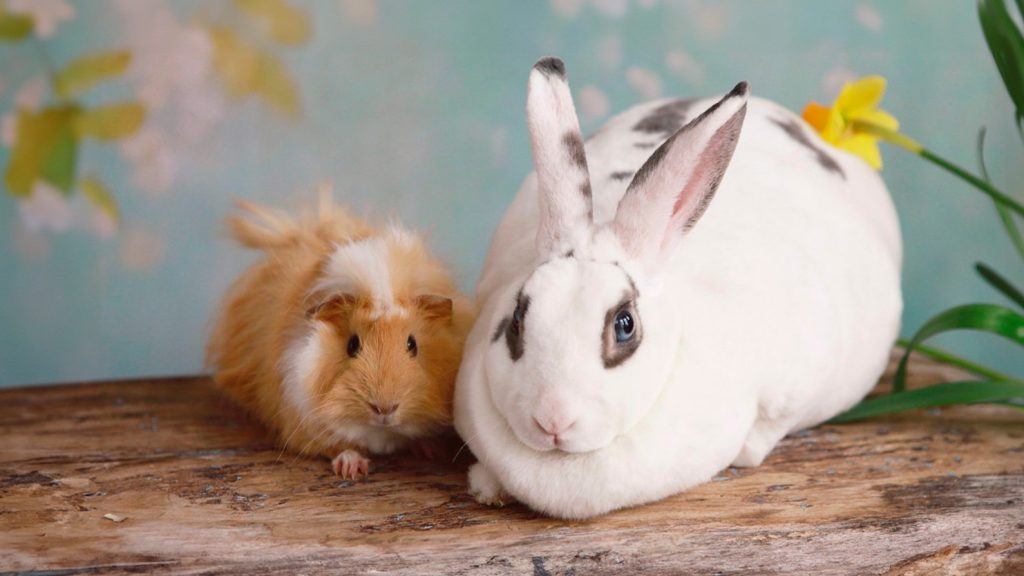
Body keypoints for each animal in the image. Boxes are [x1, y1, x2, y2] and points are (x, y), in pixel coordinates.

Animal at [207, 191, 475, 479]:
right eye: (352, 345)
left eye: (412, 344)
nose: (384, 409)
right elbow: (339, 446)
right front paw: (352, 469)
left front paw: (432, 449)